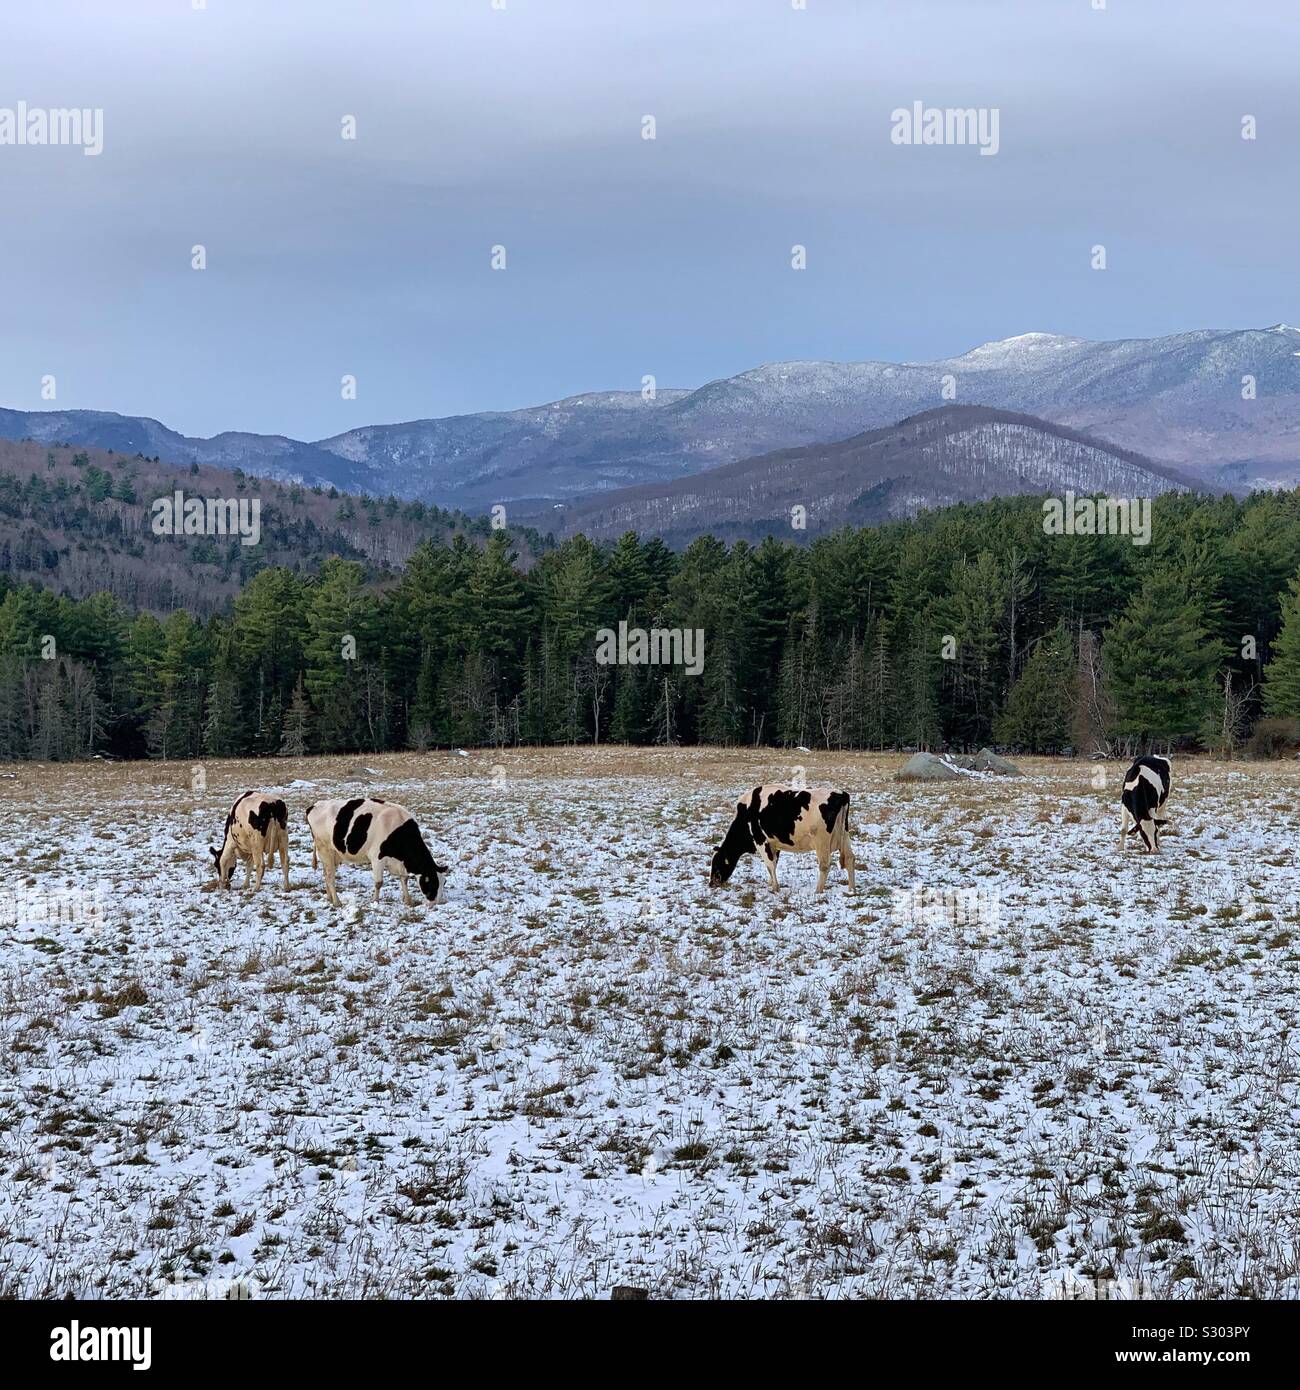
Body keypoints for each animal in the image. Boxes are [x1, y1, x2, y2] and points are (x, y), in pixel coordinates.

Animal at [306, 797, 448, 908]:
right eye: (432, 883)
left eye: (444, 882)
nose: (436, 903)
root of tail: (314, 806)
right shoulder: (377, 858)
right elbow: (379, 883)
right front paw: (375, 901)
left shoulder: (399, 862)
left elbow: (404, 879)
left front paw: (408, 900)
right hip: (325, 850)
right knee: (330, 877)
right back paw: (337, 902)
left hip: (333, 854)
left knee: (325, 874)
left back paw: (329, 898)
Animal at [709, 785, 856, 893]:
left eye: (716, 863)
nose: (711, 883)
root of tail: (841, 794)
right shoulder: (774, 843)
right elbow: (774, 862)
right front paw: (771, 883)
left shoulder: (760, 840)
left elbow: (770, 864)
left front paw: (775, 888)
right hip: (844, 836)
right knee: (850, 858)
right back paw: (851, 889)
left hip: (821, 841)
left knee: (824, 865)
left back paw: (818, 891)